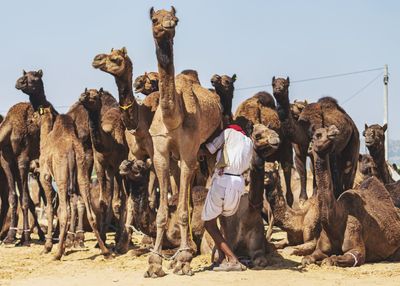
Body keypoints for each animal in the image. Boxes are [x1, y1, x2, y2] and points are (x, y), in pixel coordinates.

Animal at [78, 88, 127, 247]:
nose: (82, 96)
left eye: (95, 96)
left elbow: (117, 201)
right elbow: (102, 202)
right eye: (86, 91)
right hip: (111, 170)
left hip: (120, 167)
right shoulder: (100, 164)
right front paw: (102, 239)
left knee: (122, 198)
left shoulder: (117, 164)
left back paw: (119, 237)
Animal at [145, 6, 222, 274]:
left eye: (176, 20)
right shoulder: (160, 152)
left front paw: (184, 258)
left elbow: (182, 210)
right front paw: (155, 261)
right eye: (154, 19)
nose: (168, 25)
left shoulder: (189, 151)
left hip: (210, 145)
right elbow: (162, 212)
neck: (173, 118)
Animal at [302, 126, 400, 268]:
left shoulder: (354, 239)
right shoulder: (321, 247)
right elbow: (308, 258)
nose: (333, 130)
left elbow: (333, 259)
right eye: (317, 134)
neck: (335, 220)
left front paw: (329, 260)